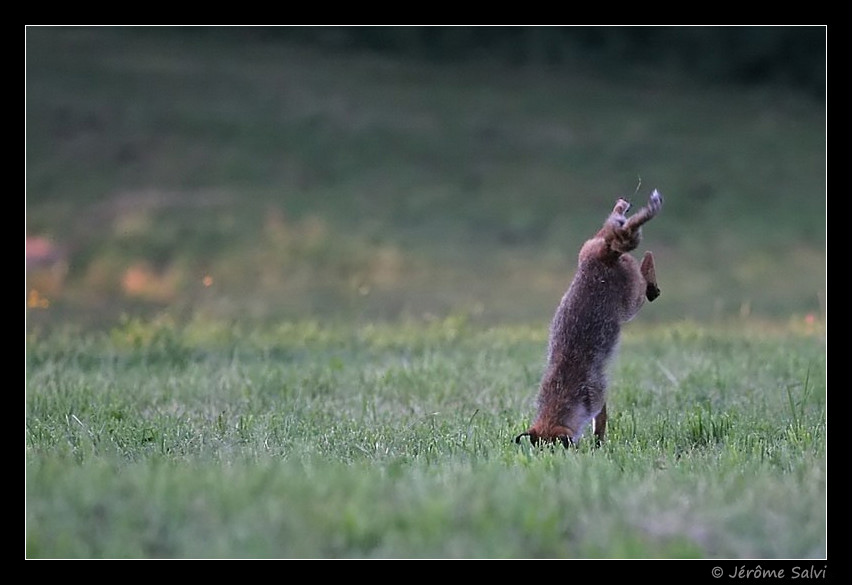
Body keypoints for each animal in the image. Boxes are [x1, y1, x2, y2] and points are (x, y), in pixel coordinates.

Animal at [514, 189, 663, 448]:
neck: (561, 390)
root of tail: (604, 254)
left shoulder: (596, 396)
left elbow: (600, 424)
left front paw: (598, 445)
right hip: (592, 247)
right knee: (614, 226)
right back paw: (621, 207)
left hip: (632, 303)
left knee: (645, 260)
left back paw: (653, 285)